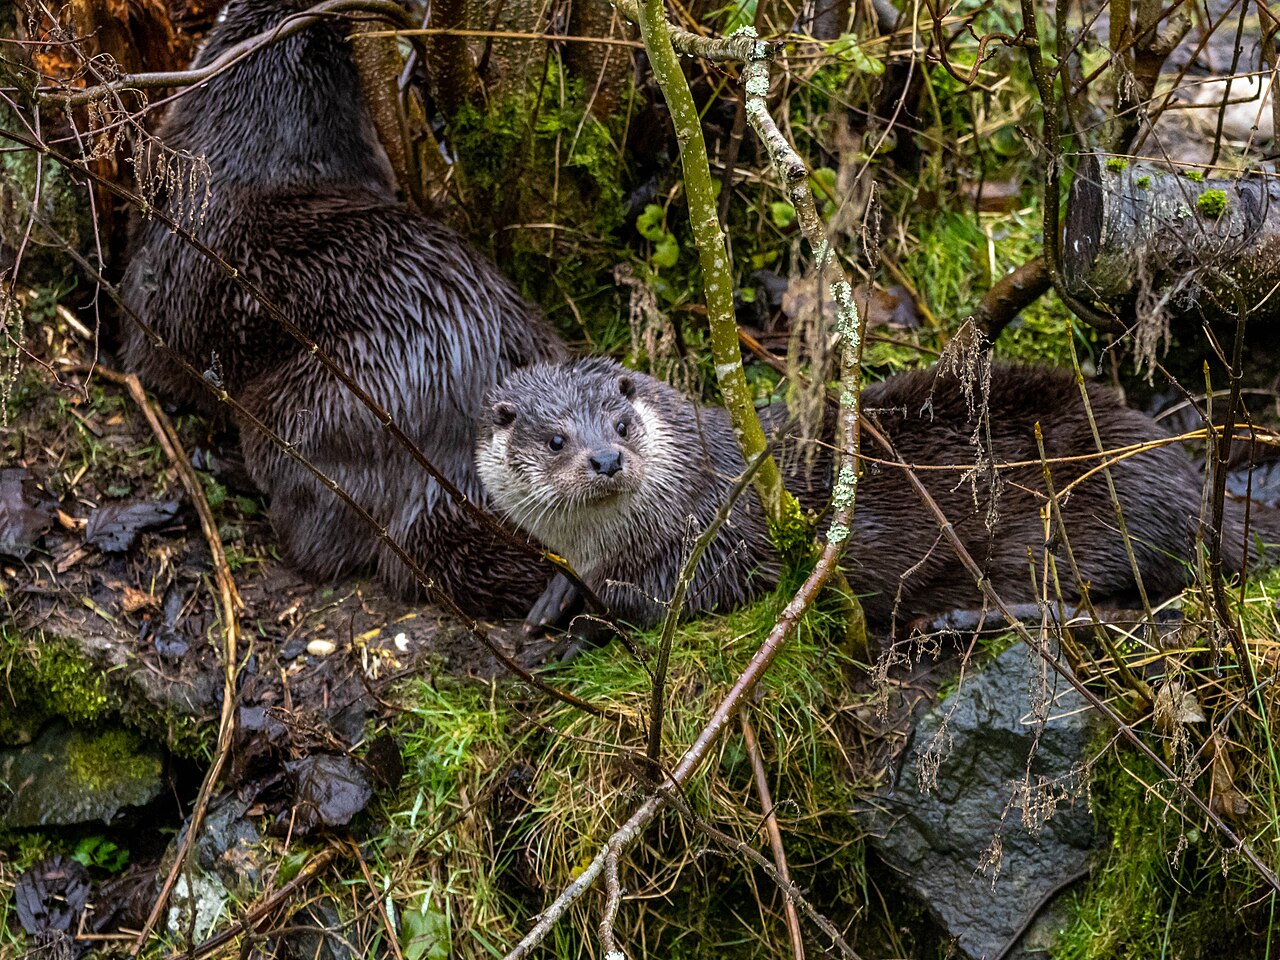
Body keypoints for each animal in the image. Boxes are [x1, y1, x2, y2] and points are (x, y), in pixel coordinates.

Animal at [119, 0, 565, 613]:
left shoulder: (151, 295)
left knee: (317, 538)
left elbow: (146, 362)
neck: (253, 159)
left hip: (308, 411)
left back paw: (228, 469)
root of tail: (447, 476)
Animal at [477, 358, 1271, 630]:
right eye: (556, 439)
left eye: (619, 422)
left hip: (1094, 508)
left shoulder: (724, 540)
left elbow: (673, 604)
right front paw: (552, 600)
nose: (608, 458)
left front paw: (588, 621)